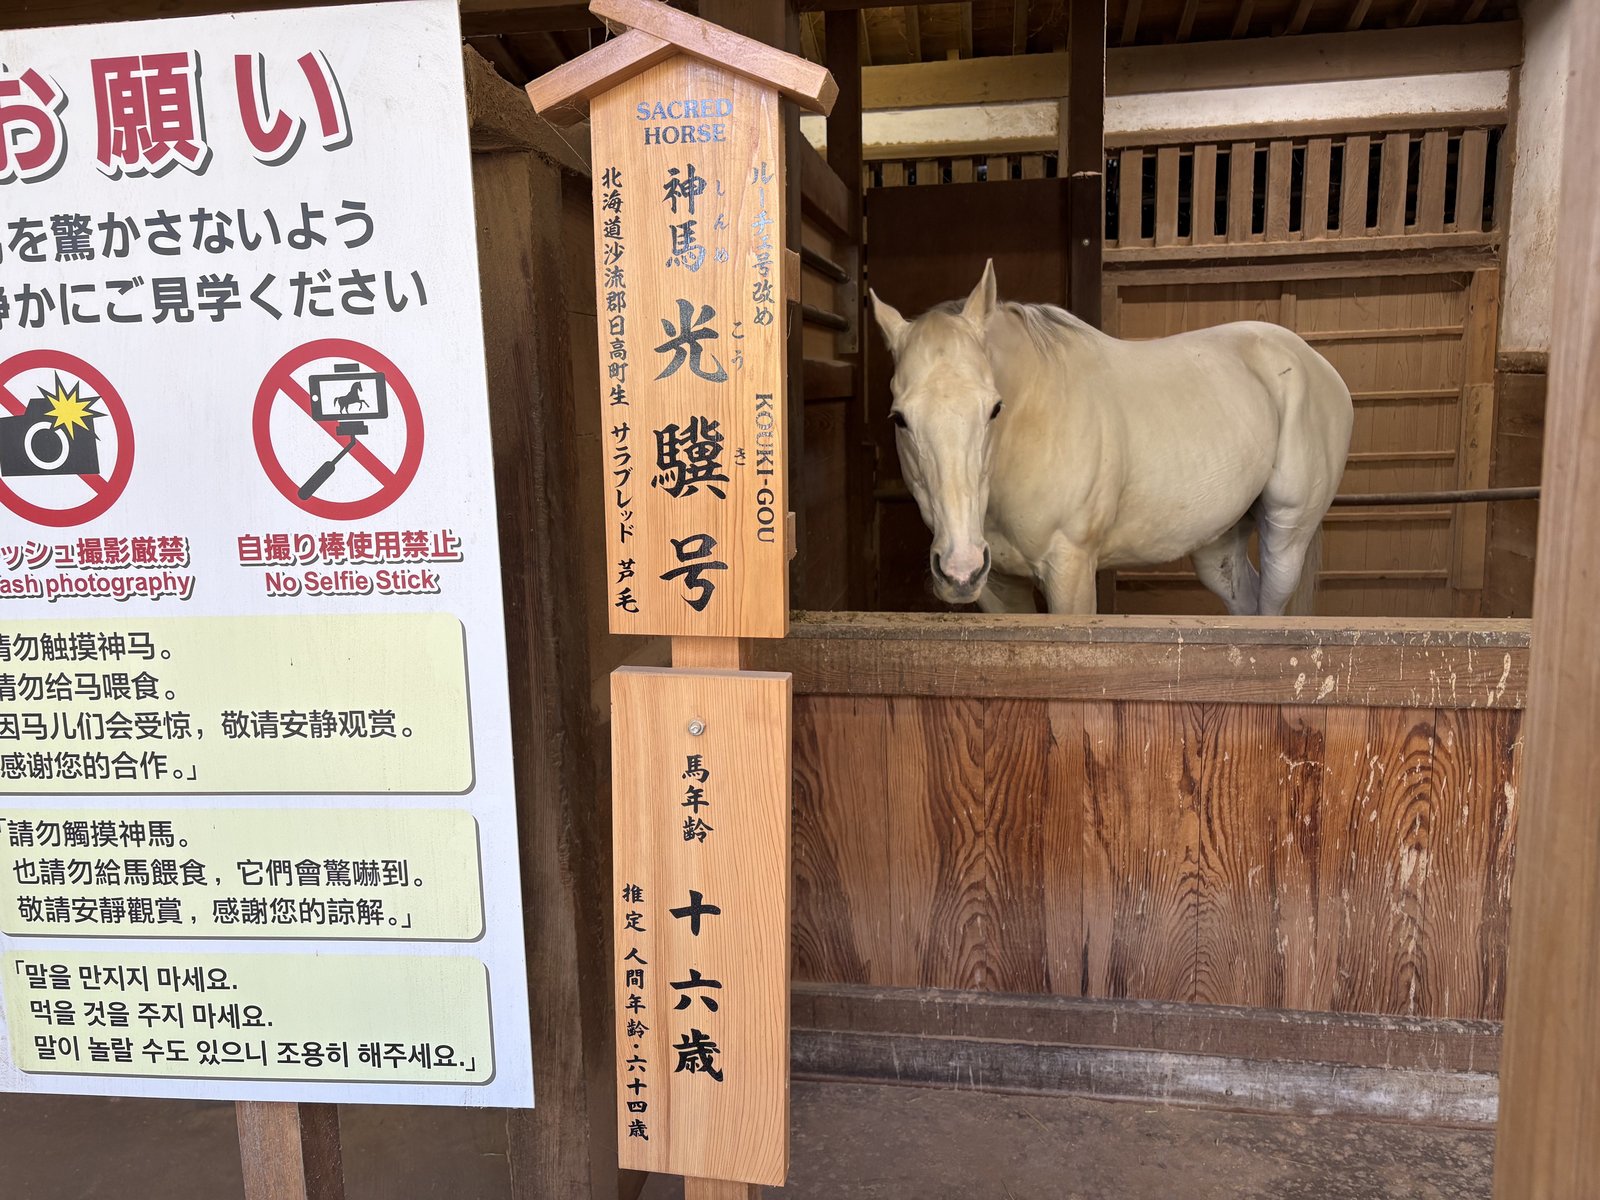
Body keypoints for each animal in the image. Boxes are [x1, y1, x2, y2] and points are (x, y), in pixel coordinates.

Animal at [869, 261, 1353, 616]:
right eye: (900, 419)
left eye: (994, 408)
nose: (960, 569)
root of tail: (1313, 362)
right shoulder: (999, 587)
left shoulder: (1070, 572)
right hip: (1219, 546)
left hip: (1287, 535)